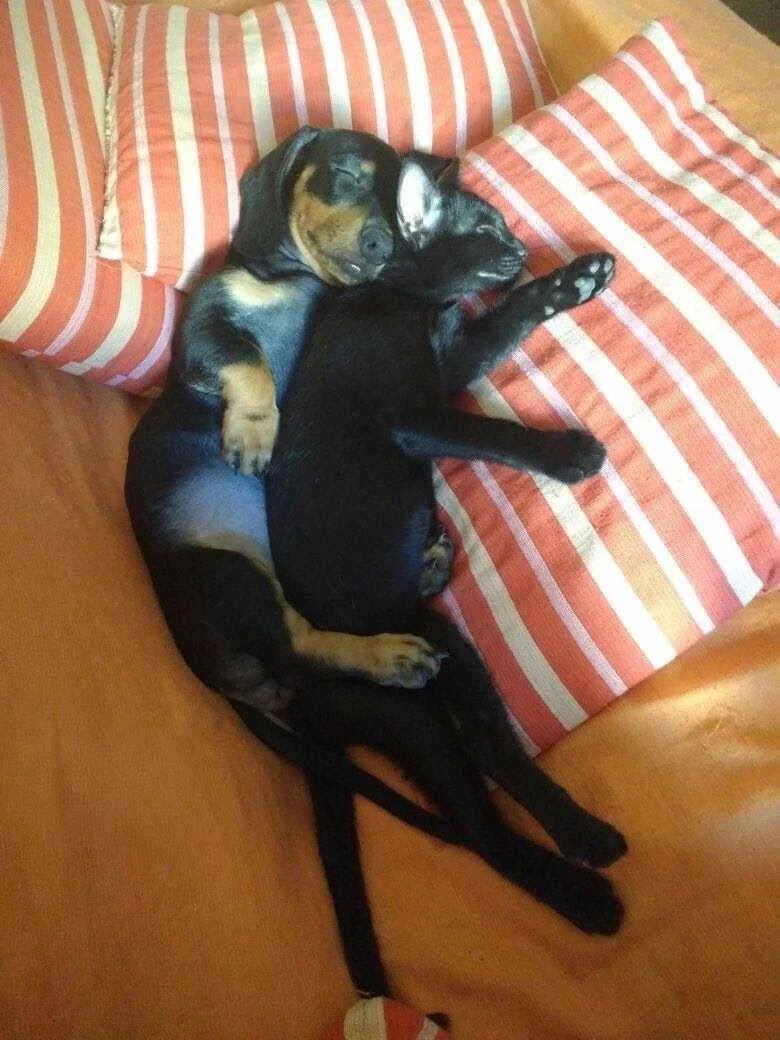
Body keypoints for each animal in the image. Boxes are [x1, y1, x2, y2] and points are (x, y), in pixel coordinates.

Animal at [265, 157, 627, 999]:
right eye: (486, 227)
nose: (523, 246)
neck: (393, 295)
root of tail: (301, 692)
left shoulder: (453, 359)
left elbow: (508, 319)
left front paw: (574, 280)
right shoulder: (418, 412)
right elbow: (488, 431)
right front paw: (567, 455)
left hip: (442, 685)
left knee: (492, 778)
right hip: (423, 698)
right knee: (486, 817)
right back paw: (586, 879)